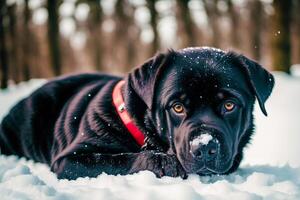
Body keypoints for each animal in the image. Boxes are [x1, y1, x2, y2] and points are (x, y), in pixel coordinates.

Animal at [0, 47, 274, 180]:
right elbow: (115, 159)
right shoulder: (70, 160)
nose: (204, 147)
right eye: (177, 107)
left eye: (229, 105)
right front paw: (162, 161)